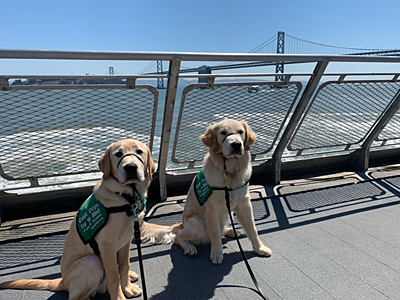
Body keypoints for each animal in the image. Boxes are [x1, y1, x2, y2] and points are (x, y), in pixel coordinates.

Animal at [0, 139, 164, 300]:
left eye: (139, 152)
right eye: (118, 154)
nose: (130, 167)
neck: (126, 197)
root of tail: (63, 282)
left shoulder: (125, 241)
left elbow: (124, 266)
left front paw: (128, 288)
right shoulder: (107, 247)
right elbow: (113, 278)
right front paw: (120, 296)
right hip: (92, 262)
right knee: (78, 296)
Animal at [173, 118, 272, 264]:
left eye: (240, 132)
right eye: (223, 133)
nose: (236, 144)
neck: (230, 171)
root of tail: (181, 224)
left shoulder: (244, 204)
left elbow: (252, 228)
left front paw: (260, 248)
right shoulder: (212, 209)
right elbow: (215, 234)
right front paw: (217, 253)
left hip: (226, 215)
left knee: (222, 229)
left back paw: (231, 231)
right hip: (197, 223)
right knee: (178, 236)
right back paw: (189, 247)